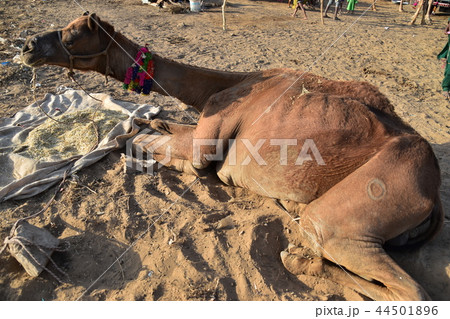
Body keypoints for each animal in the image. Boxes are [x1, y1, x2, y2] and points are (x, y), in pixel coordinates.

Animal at [21, 13, 442, 302]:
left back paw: (298, 259)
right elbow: (155, 125)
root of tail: (434, 193)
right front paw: (147, 121)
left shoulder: (205, 144)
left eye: (72, 33)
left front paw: (130, 135)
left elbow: (143, 140)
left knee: (394, 279)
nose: (27, 46)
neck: (225, 85)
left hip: (375, 194)